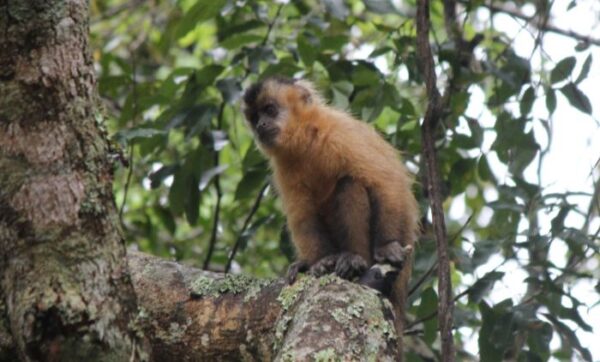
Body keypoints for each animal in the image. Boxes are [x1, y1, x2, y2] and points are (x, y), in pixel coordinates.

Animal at [241, 77, 420, 360]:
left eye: (269, 110)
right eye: (255, 116)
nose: (260, 126)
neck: (306, 140)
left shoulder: (341, 133)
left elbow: (386, 183)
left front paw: (386, 247)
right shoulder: (284, 166)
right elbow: (303, 217)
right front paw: (320, 263)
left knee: (350, 185)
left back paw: (356, 261)